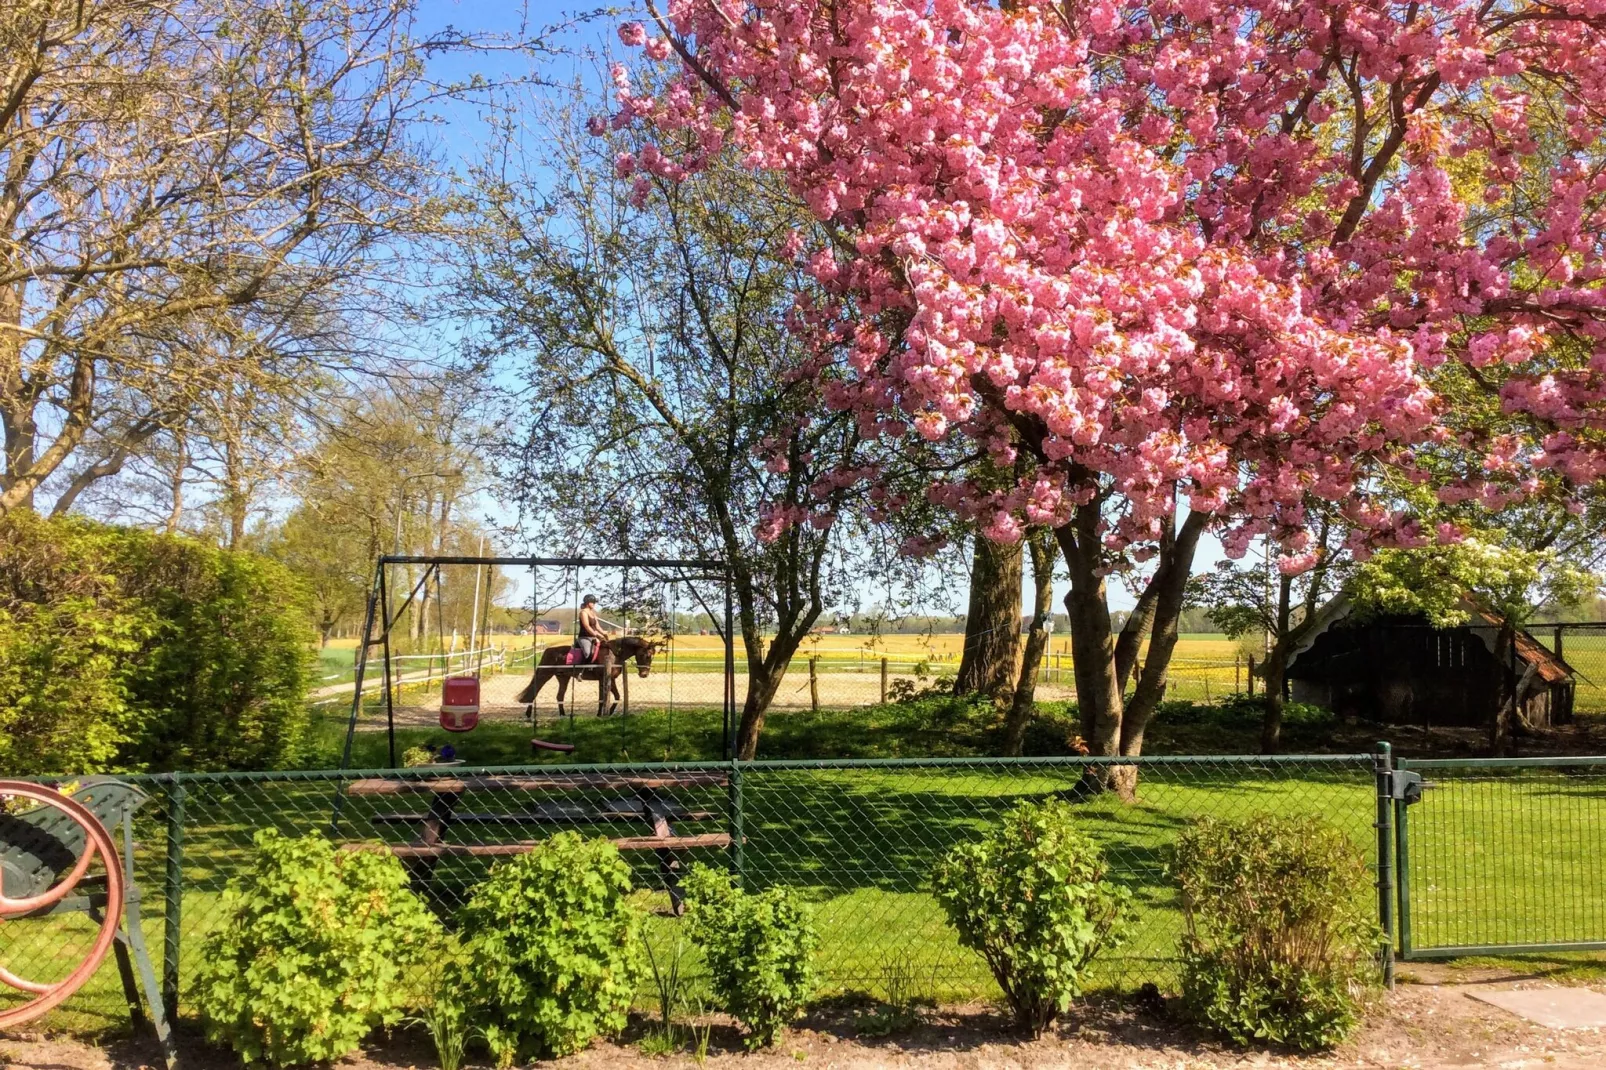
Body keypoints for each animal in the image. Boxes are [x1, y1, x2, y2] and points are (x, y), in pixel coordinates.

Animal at [517, 633, 661, 716]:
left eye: (651, 656)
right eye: (646, 655)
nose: (644, 674)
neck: (615, 654)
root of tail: (547, 650)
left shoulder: (611, 679)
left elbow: (616, 696)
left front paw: (608, 712)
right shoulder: (603, 679)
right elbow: (603, 698)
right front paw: (601, 714)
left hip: (563, 677)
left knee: (559, 696)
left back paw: (563, 715)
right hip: (544, 674)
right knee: (534, 691)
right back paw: (528, 714)